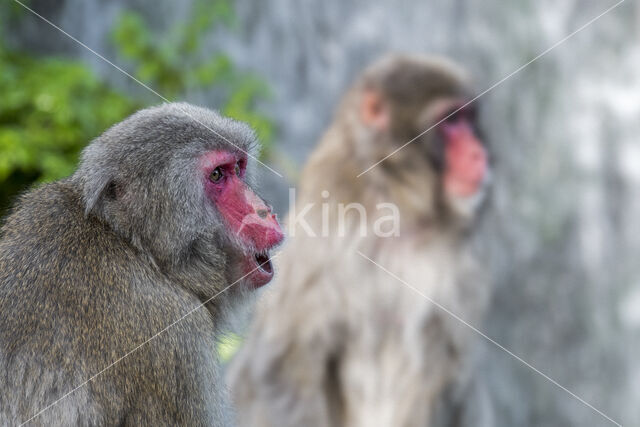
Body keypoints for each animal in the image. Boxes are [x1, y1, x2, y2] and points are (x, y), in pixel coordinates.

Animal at [228, 56, 492, 427]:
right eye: (451, 120)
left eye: (469, 119)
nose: (479, 154)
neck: (398, 204)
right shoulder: (327, 214)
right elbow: (286, 361)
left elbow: (441, 370)